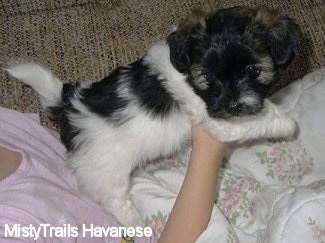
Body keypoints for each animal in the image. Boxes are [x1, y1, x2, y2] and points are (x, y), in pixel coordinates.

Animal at [6, 6, 298, 226]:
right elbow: (263, 116)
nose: (233, 105)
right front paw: (289, 125)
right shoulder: (218, 120)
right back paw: (134, 220)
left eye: (253, 71)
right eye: (207, 77)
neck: (186, 71)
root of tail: (68, 107)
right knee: (112, 198)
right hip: (106, 170)